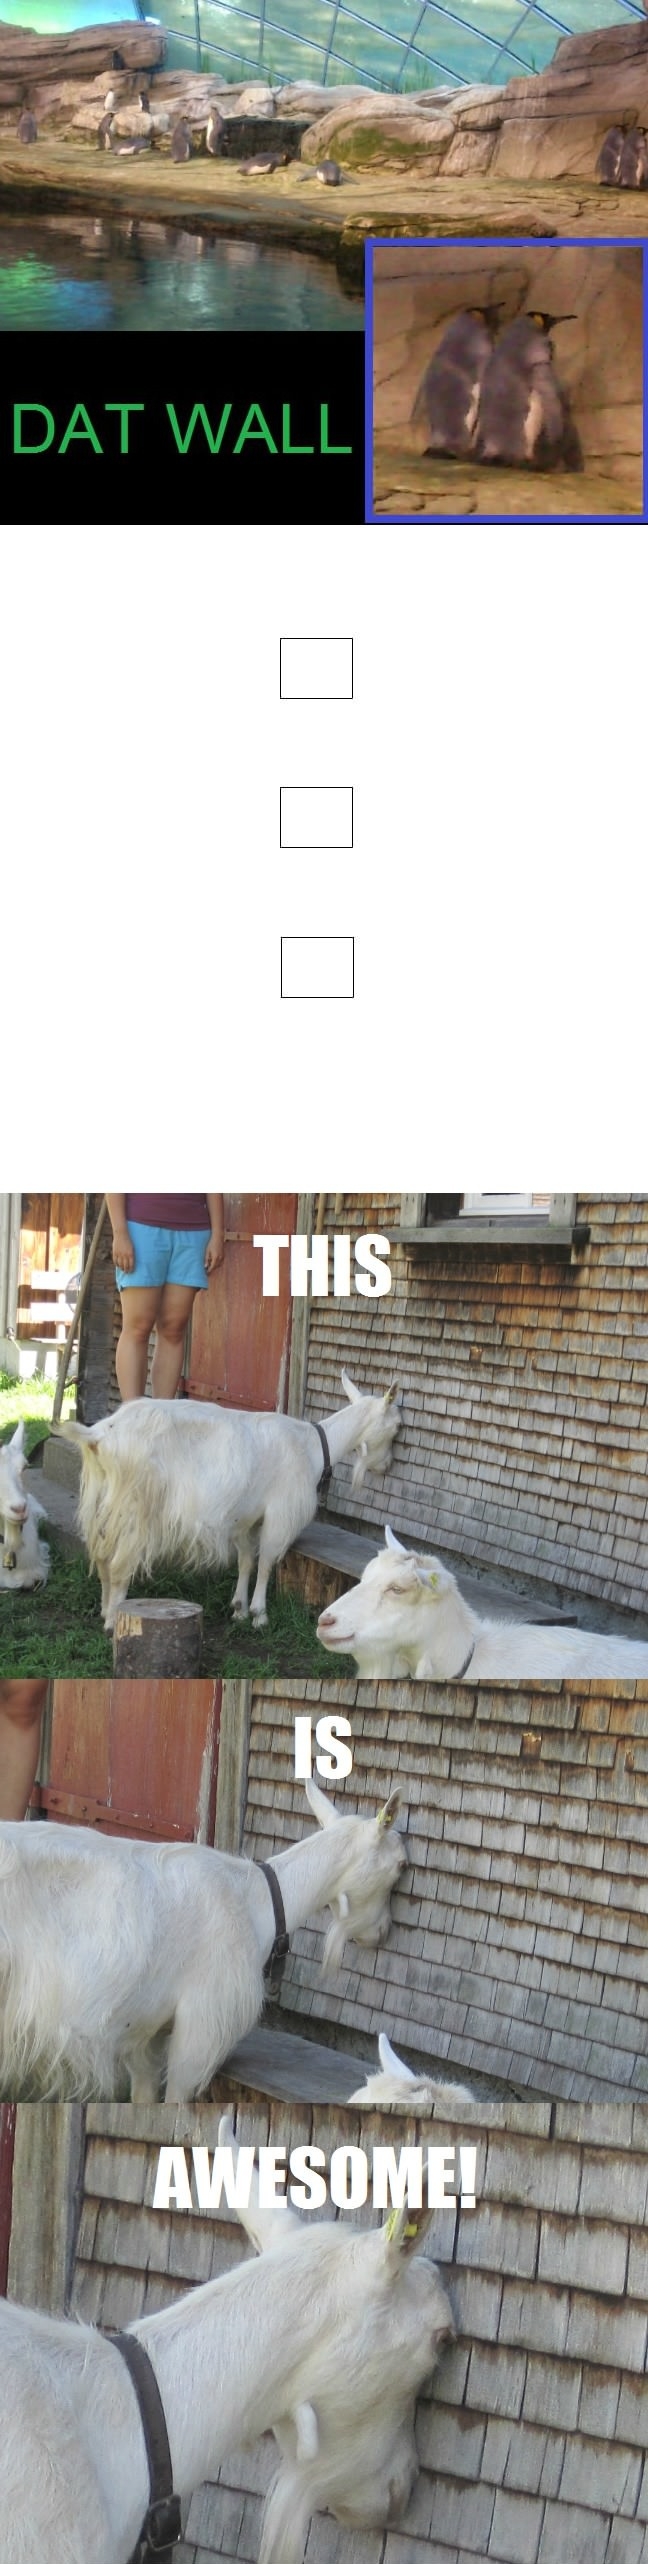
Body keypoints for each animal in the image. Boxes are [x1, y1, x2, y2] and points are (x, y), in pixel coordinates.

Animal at [55, 1370, 401, 1630]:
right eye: (397, 1425)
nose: (387, 1466)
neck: (313, 1445)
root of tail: (99, 1436)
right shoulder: (279, 1512)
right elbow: (267, 1561)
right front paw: (260, 1615)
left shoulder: (246, 1516)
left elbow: (247, 1560)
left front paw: (239, 1608)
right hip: (136, 1504)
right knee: (117, 1562)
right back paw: (114, 1619)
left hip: (101, 1498)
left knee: (100, 1556)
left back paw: (104, 1610)